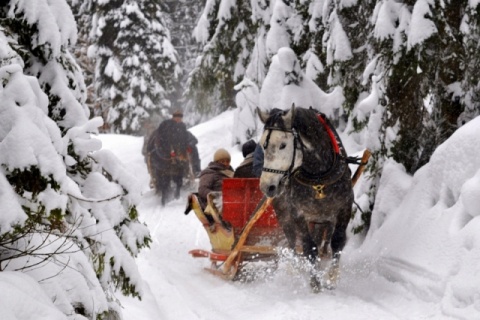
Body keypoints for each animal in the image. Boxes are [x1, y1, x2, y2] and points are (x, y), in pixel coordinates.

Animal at [256, 105, 354, 292]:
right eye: (263, 145)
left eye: (283, 145)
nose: (267, 186)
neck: (318, 177)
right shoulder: (298, 214)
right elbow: (309, 248)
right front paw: (315, 282)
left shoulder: (344, 207)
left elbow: (337, 241)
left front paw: (331, 278)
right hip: (285, 217)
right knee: (294, 245)